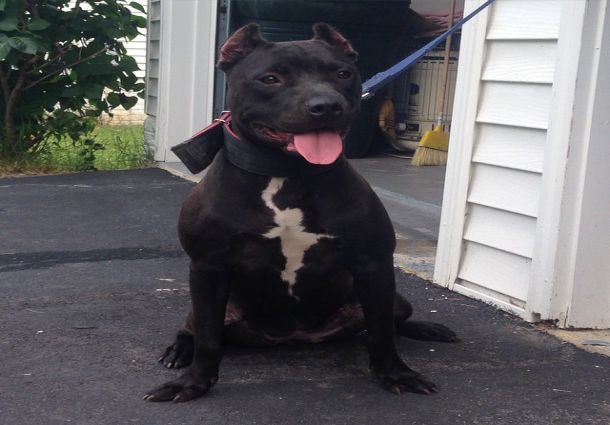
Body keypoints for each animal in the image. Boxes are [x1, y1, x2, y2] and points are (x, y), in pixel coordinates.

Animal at [144, 22, 456, 400]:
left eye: (342, 74)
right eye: (270, 79)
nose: (327, 105)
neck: (286, 174)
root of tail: (293, 336)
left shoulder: (375, 264)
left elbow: (382, 332)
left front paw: (395, 373)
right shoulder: (207, 266)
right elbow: (208, 337)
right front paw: (193, 382)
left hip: (391, 298)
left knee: (392, 320)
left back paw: (428, 328)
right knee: (194, 328)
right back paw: (179, 350)